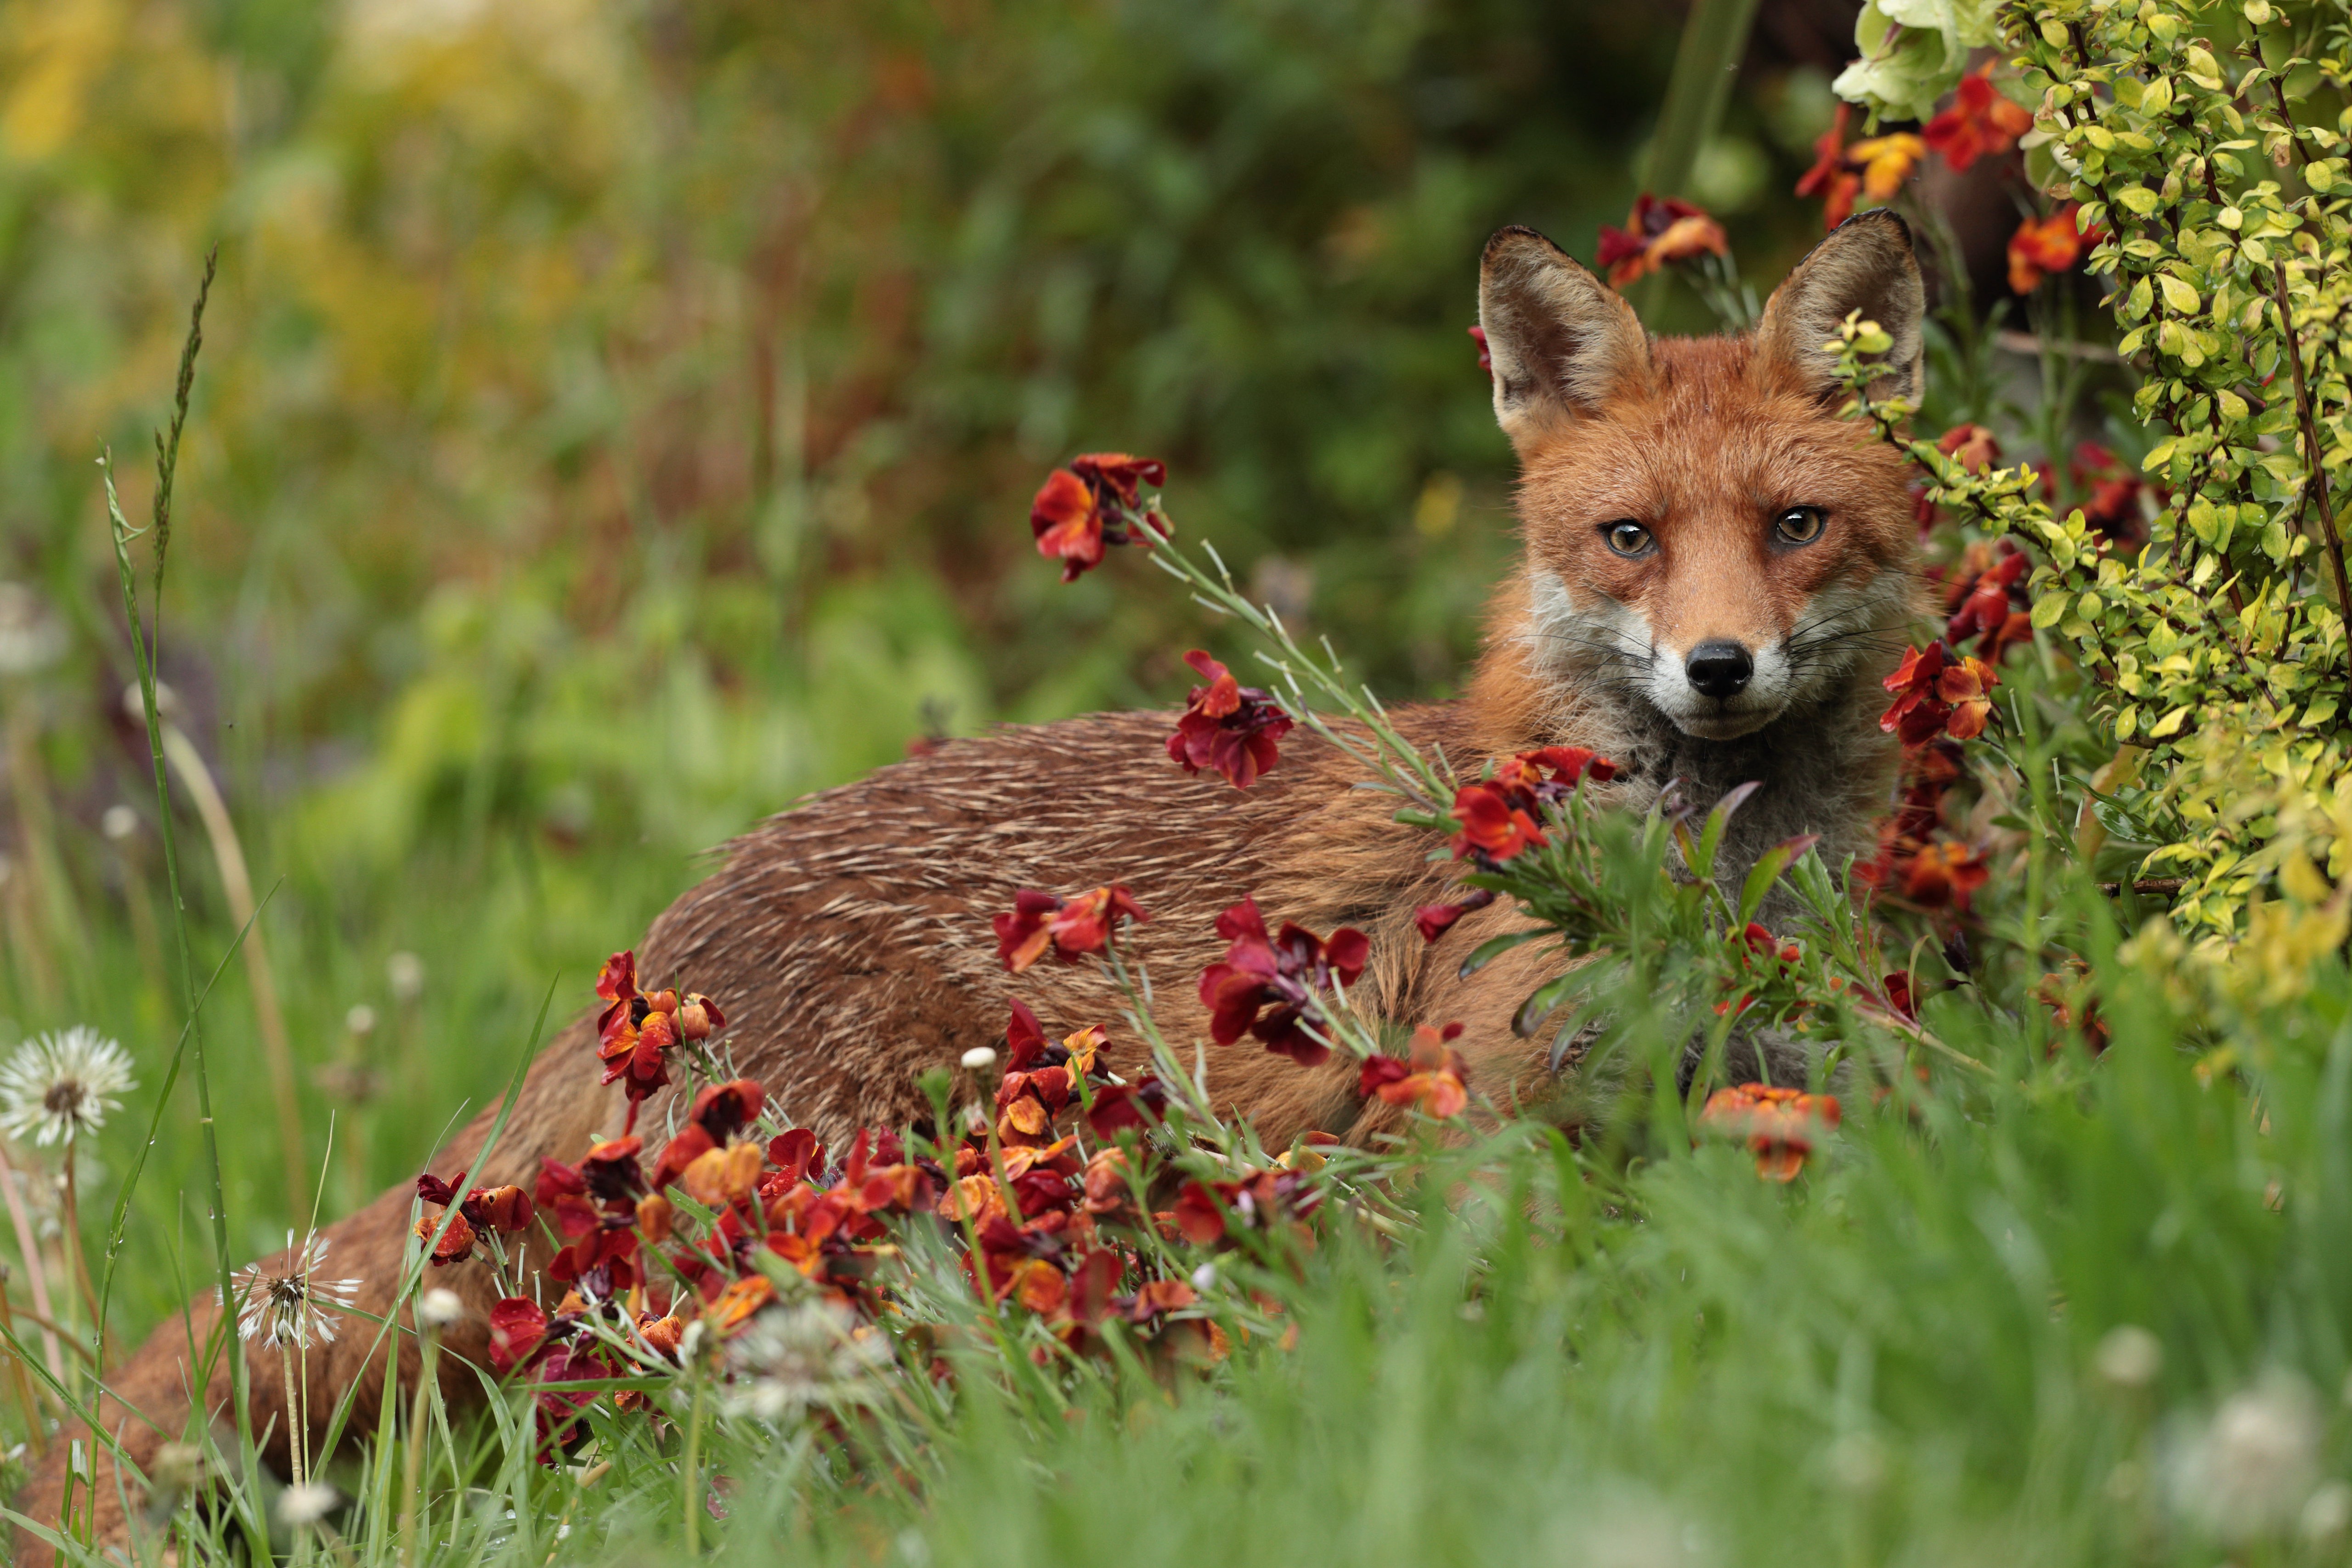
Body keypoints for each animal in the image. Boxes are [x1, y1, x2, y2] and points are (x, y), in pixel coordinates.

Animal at [22, 209, 1926, 1556]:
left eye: (1795, 527)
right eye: (1629, 540)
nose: (1719, 669)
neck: (1701, 862)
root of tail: (646, 957)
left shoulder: (1755, 1098)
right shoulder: (1463, 1117)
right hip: (894, 1248)